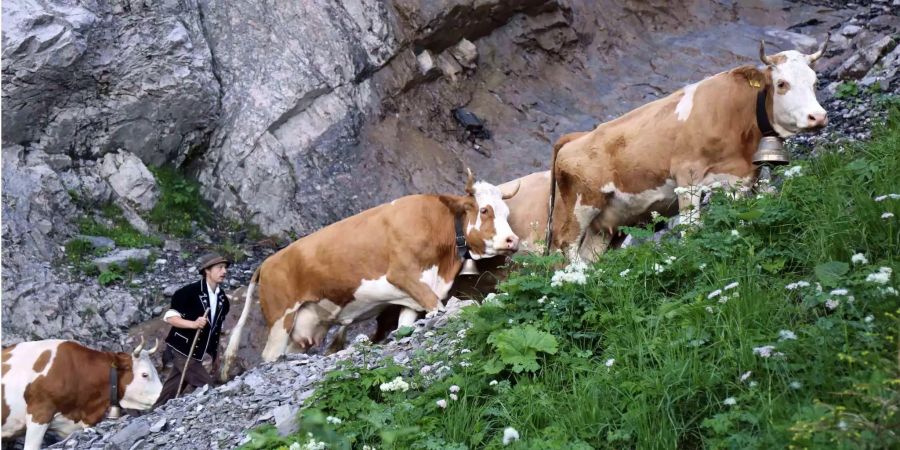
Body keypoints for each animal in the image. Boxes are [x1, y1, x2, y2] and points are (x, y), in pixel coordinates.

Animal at [219, 169, 524, 376]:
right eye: (484, 210)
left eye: (507, 212)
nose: (512, 240)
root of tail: (267, 262)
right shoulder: (404, 276)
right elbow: (439, 306)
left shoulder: (414, 295)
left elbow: (406, 324)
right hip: (280, 320)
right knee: (270, 355)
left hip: (303, 328)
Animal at [540, 38, 828, 260]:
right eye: (782, 84)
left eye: (815, 82)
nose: (818, 117)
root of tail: (576, 137)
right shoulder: (686, 176)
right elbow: (692, 228)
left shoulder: (745, 178)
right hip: (580, 208)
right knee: (565, 247)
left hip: (606, 224)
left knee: (589, 257)